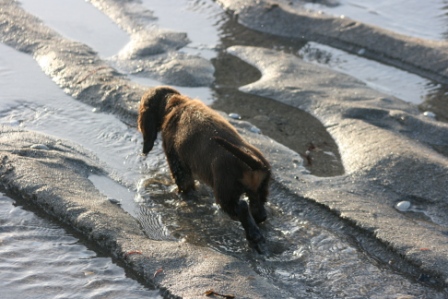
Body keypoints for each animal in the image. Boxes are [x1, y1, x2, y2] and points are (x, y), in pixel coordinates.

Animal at [137, 86, 270, 253]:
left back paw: (254, 238)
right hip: (259, 188)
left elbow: (185, 184)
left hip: (225, 193)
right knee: (258, 209)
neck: (174, 104)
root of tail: (253, 161)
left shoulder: (177, 162)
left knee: (242, 208)